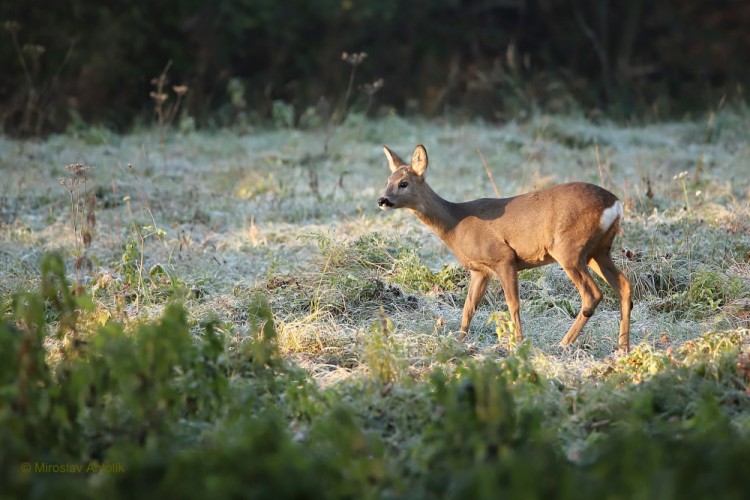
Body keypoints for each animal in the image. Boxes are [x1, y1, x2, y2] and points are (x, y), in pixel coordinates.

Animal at [378, 144, 632, 352]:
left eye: (403, 183)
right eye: (387, 181)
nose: (382, 200)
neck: (455, 224)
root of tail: (615, 204)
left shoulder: (503, 257)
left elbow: (513, 304)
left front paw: (518, 345)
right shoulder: (480, 270)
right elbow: (468, 308)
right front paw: (458, 343)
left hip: (568, 248)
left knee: (592, 294)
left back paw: (563, 343)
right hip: (598, 251)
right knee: (624, 286)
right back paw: (623, 348)